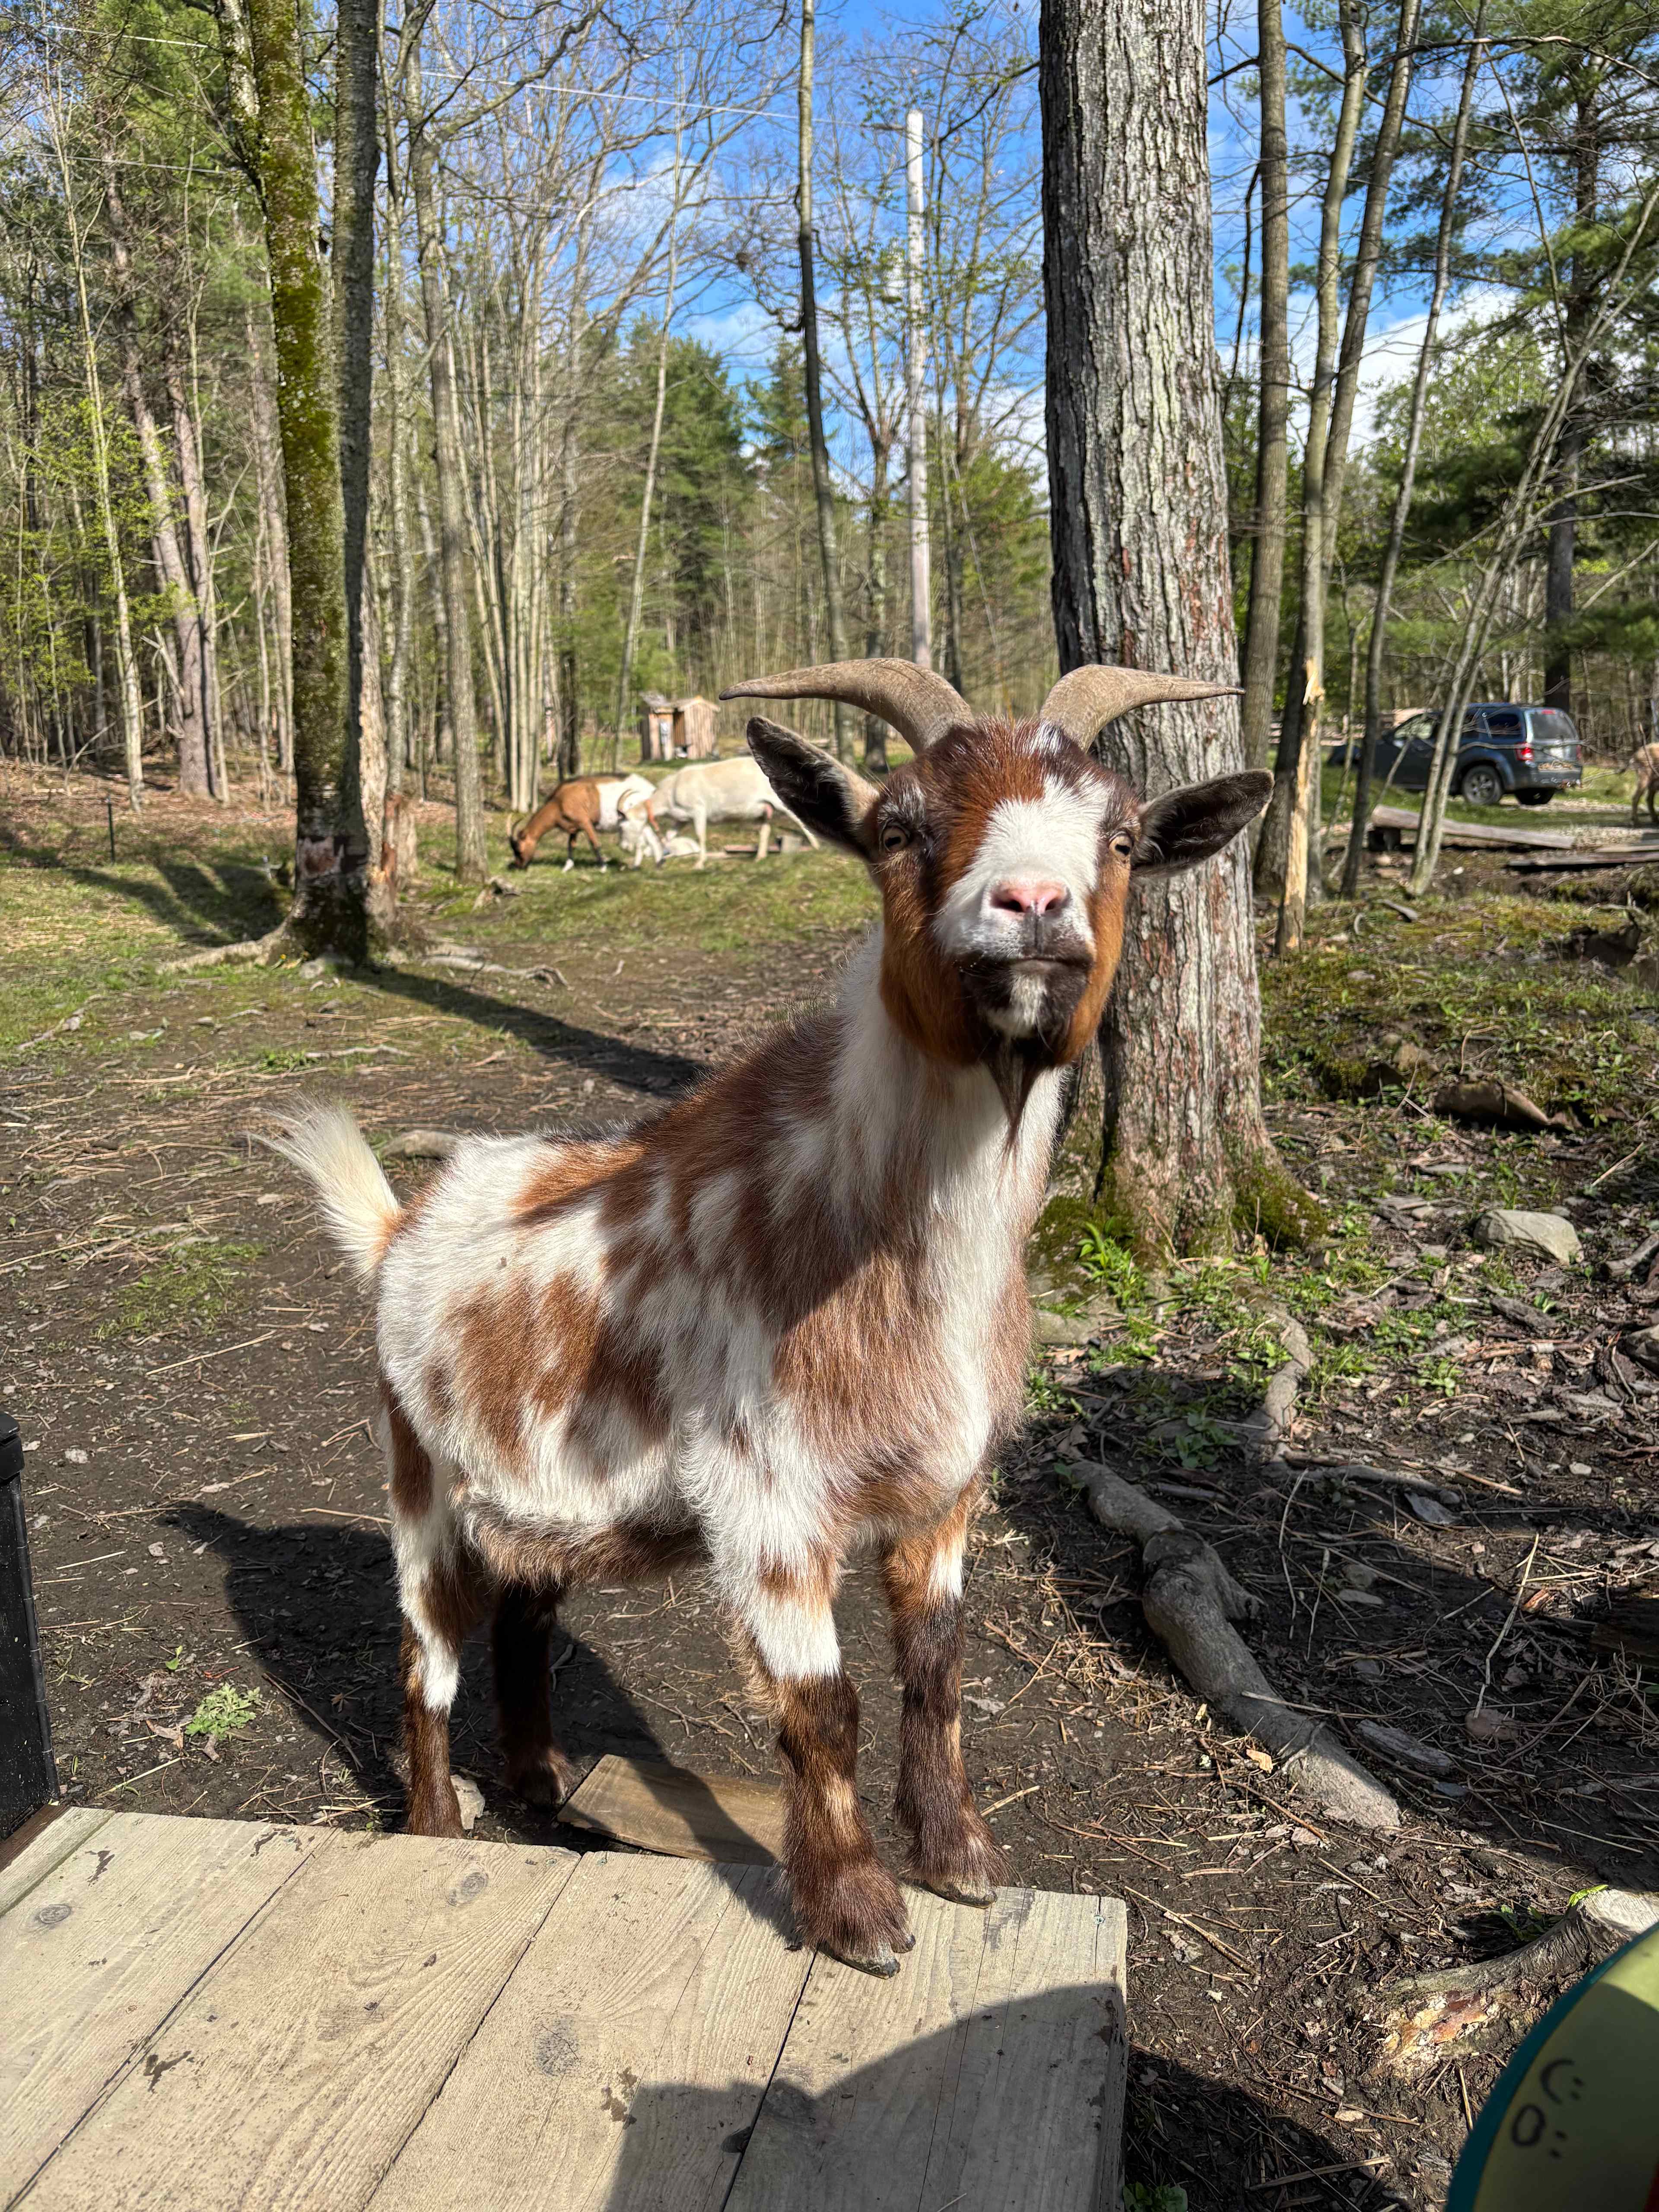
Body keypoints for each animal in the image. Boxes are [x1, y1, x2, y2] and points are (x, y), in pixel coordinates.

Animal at [508, 774, 660, 870]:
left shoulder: (585, 822)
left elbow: (594, 843)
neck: (559, 802)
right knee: (651, 838)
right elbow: (571, 845)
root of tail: (651, 789)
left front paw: (603, 867)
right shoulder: (574, 827)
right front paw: (568, 867)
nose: (518, 866)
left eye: (519, 849)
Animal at [623, 755, 819, 868]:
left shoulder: (698, 810)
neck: (669, 793)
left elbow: (700, 835)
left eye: (623, 826)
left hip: (779, 801)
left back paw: (816, 846)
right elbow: (669, 836)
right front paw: (662, 858)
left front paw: (700, 863)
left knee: (799, 819)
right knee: (765, 830)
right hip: (765, 808)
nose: (624, 848)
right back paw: (760, 857)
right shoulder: (681, 819)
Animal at [1632, 743, 1659, 826]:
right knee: (1635, 798)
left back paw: (1655, 819)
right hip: (1644, 780)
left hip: (1653, 783)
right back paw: (1636, 822)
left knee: (1649, 799)